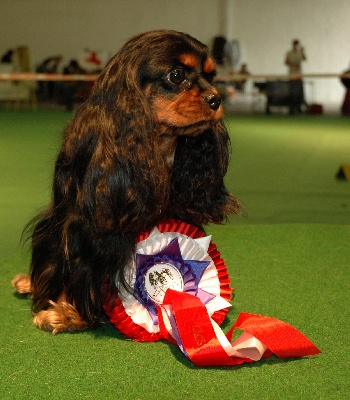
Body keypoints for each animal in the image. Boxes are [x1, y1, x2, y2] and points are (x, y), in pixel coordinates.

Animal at [11, 29, 241, 332]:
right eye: (176, 75)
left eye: (212, 76)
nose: (216, 99)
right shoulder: (81, 225)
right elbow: (77, 263)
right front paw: (68, 312)